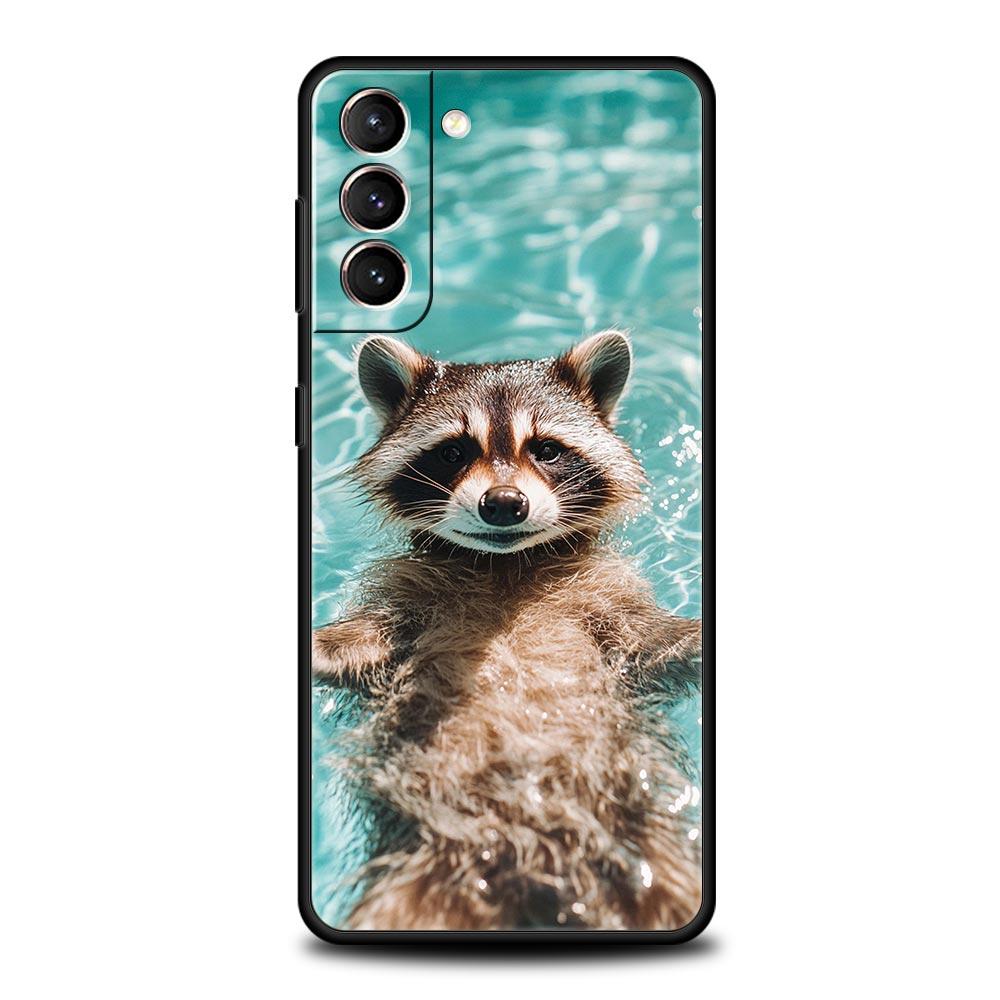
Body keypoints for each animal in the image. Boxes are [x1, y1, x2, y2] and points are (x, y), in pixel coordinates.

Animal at [313, 330, 703, 931]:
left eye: (546, 449)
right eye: (454, 451)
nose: (502, 504)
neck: (505, 567)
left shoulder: (608, 603)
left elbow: (654, 645)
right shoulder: (405, 602)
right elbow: (362, 643)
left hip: (651, 857)